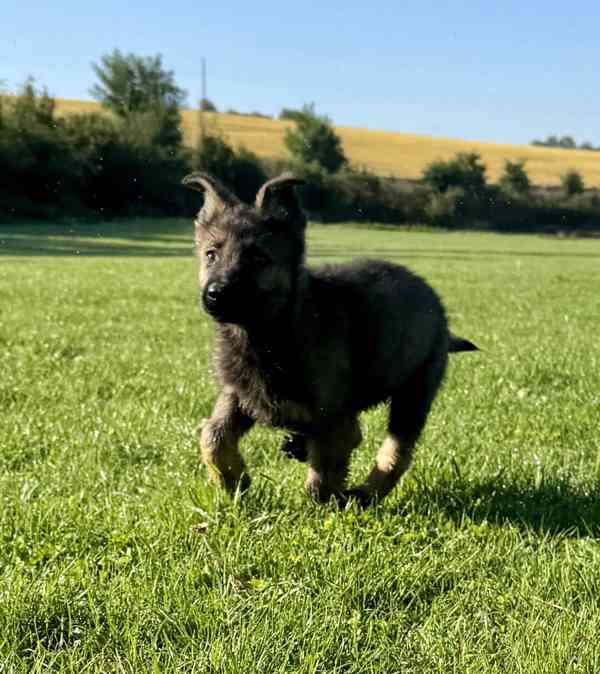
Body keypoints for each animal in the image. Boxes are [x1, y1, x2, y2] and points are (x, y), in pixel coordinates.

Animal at [180, 171, 476, 502]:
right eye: (211, 254)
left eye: (258, 259)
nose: (215, 294)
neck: (266, 335)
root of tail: (438, 309)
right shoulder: (239, 394)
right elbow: (213, 434)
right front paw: (233, 482)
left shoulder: (333, 415)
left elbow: (323, 474)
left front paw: (323, 505)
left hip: (413, 395)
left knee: (396, 451)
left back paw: (364, 495)